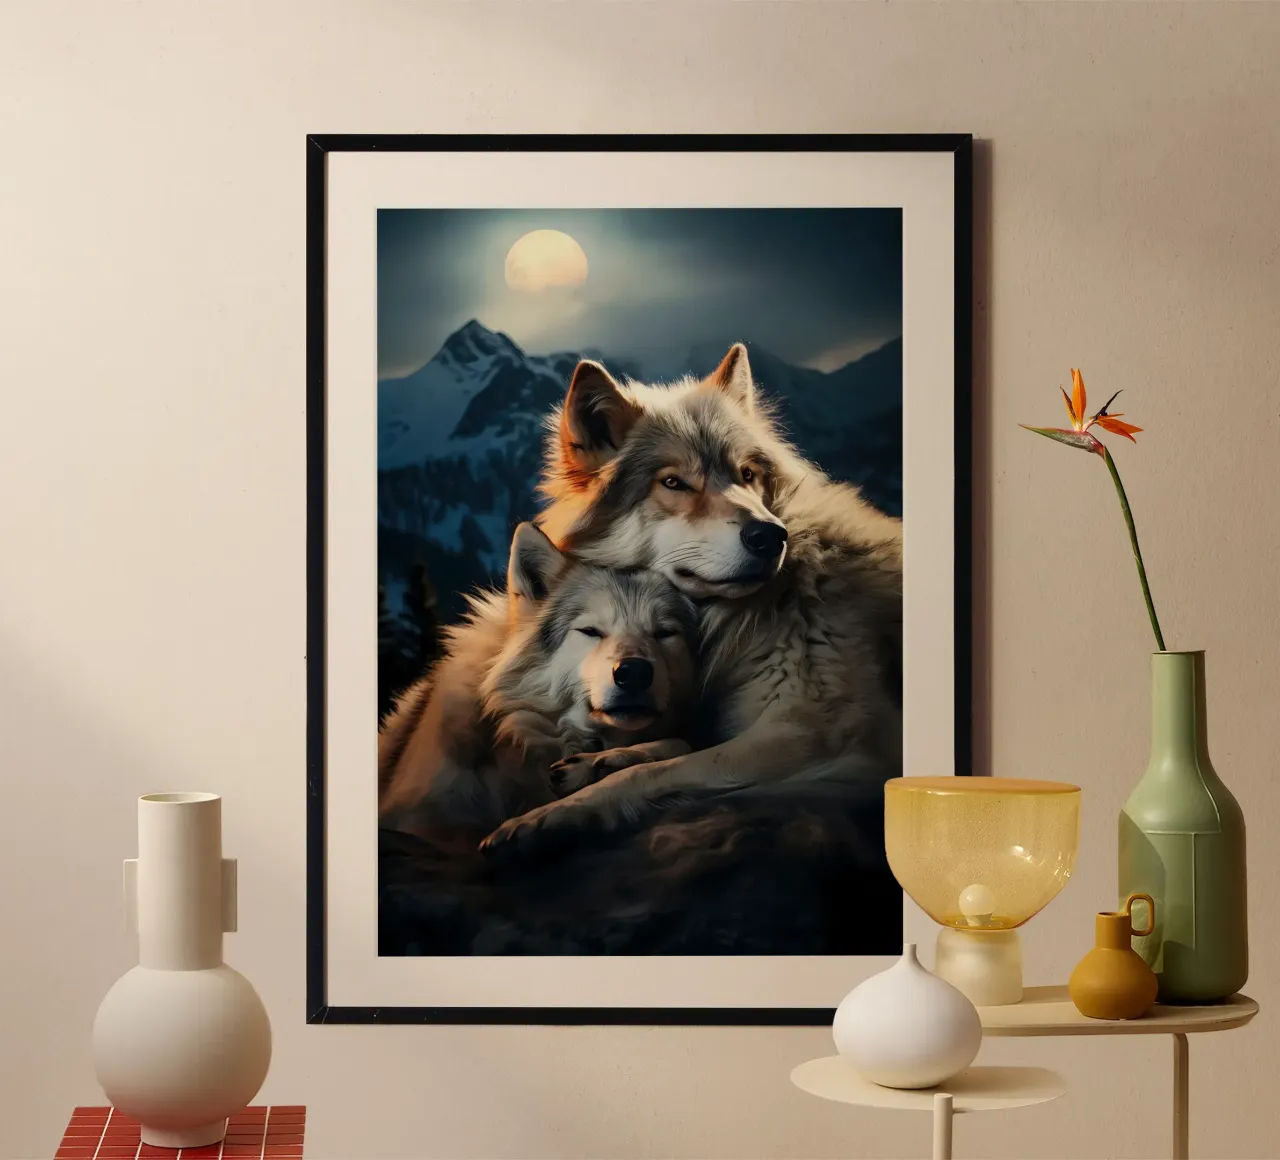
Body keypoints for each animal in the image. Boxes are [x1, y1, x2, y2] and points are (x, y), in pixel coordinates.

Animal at [379, 522, 700, 841]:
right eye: (590, 631)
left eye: (664, 633)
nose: (634, 672)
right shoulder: (423, 815)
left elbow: (680, 744)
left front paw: (603, 764)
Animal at [479, 343, 903, 854]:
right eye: (674, 482)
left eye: (747, 474)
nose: (771, 536)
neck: (775, 606)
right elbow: (679, 748)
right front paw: (600, 762)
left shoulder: (813, 737)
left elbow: (657, 773)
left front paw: (545, 816)